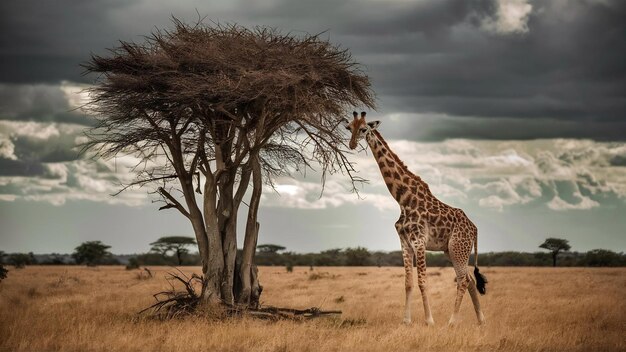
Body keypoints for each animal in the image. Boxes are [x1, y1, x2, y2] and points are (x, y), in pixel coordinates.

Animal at [344, 111, 486, 326]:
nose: (352, 144)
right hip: (450, 250)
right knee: (469, 279)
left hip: (458, 247)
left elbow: (422, 281)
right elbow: (408, 283)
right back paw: (480, 320)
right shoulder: (404, 242)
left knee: (463, 280)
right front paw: (406, 321)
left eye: (363, 129)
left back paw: (452, 322)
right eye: (349, 128)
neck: (403, 199)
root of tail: (475, 229)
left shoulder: (419, 241)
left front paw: (429, 321)